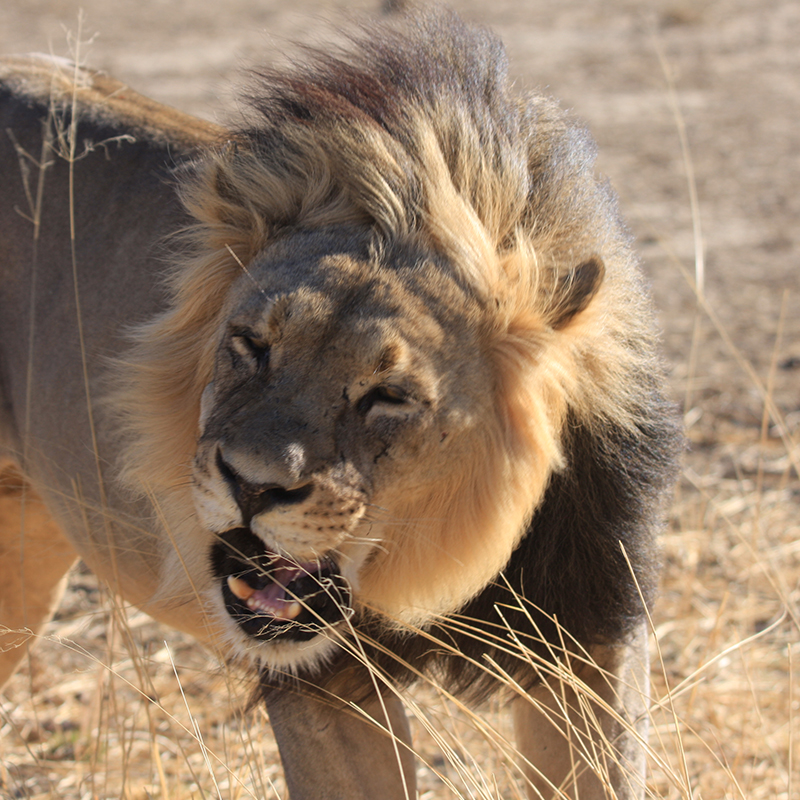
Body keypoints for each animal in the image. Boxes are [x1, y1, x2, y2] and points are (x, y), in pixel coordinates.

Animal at [0, 7, 680, 800]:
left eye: (387, 396)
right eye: (252, 344)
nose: (253, 486)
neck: (429, 566)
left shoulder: (589, 636)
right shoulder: (323, 685)